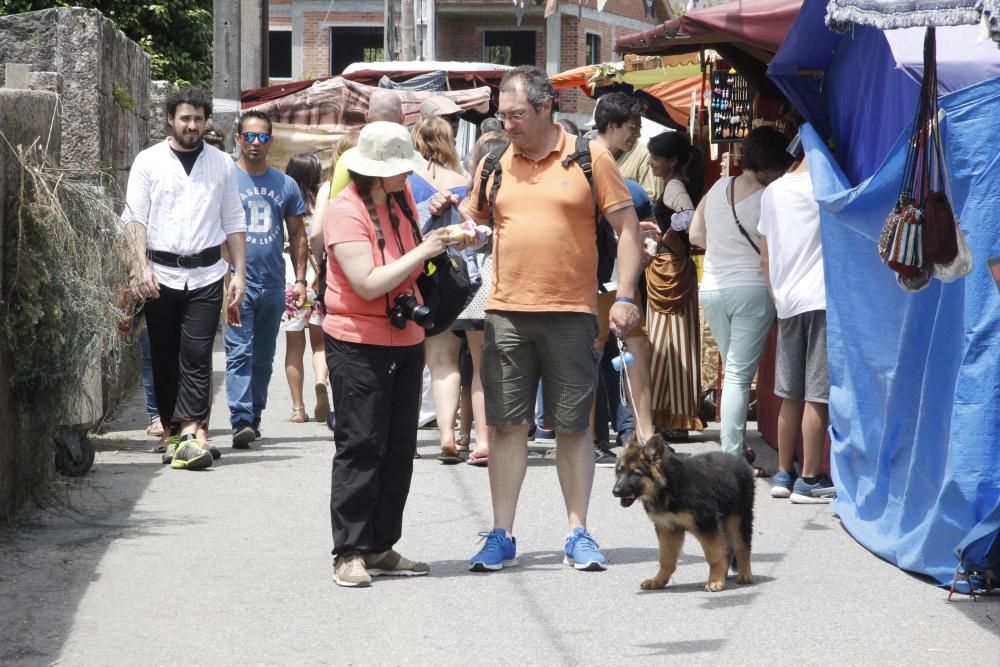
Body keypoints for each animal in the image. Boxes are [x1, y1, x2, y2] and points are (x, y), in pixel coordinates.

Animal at [612, 436, 752, 592]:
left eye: (635, 474)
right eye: (619, 471)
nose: (615, 492)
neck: (668, 486)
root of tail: (739, 460)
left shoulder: (707, 524)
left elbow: (714, 555)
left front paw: (715, 581)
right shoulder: (667, 528)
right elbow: (665, 558)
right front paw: (658, 580)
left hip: (739, 520)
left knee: (742, 548)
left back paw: (744, 574)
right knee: (727, 549)